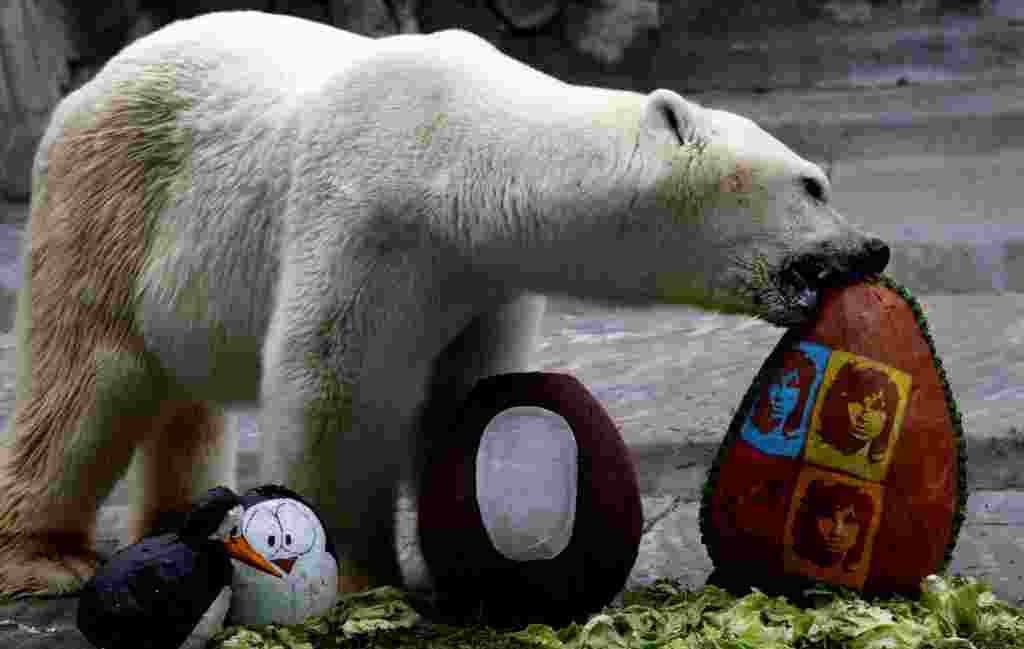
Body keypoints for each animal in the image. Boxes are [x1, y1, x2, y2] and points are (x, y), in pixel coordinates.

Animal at [0, 10, 889, 597]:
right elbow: (336, 386)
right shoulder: (367, 215)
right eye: (813, 184)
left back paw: (172, 520)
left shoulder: (479, 276)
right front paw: (360, 573)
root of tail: (93, 84)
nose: (872, 248)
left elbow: (466, 392)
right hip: (112, 195)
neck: (459, 153)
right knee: (88, 374)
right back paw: (46, 555)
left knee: (181, 397)